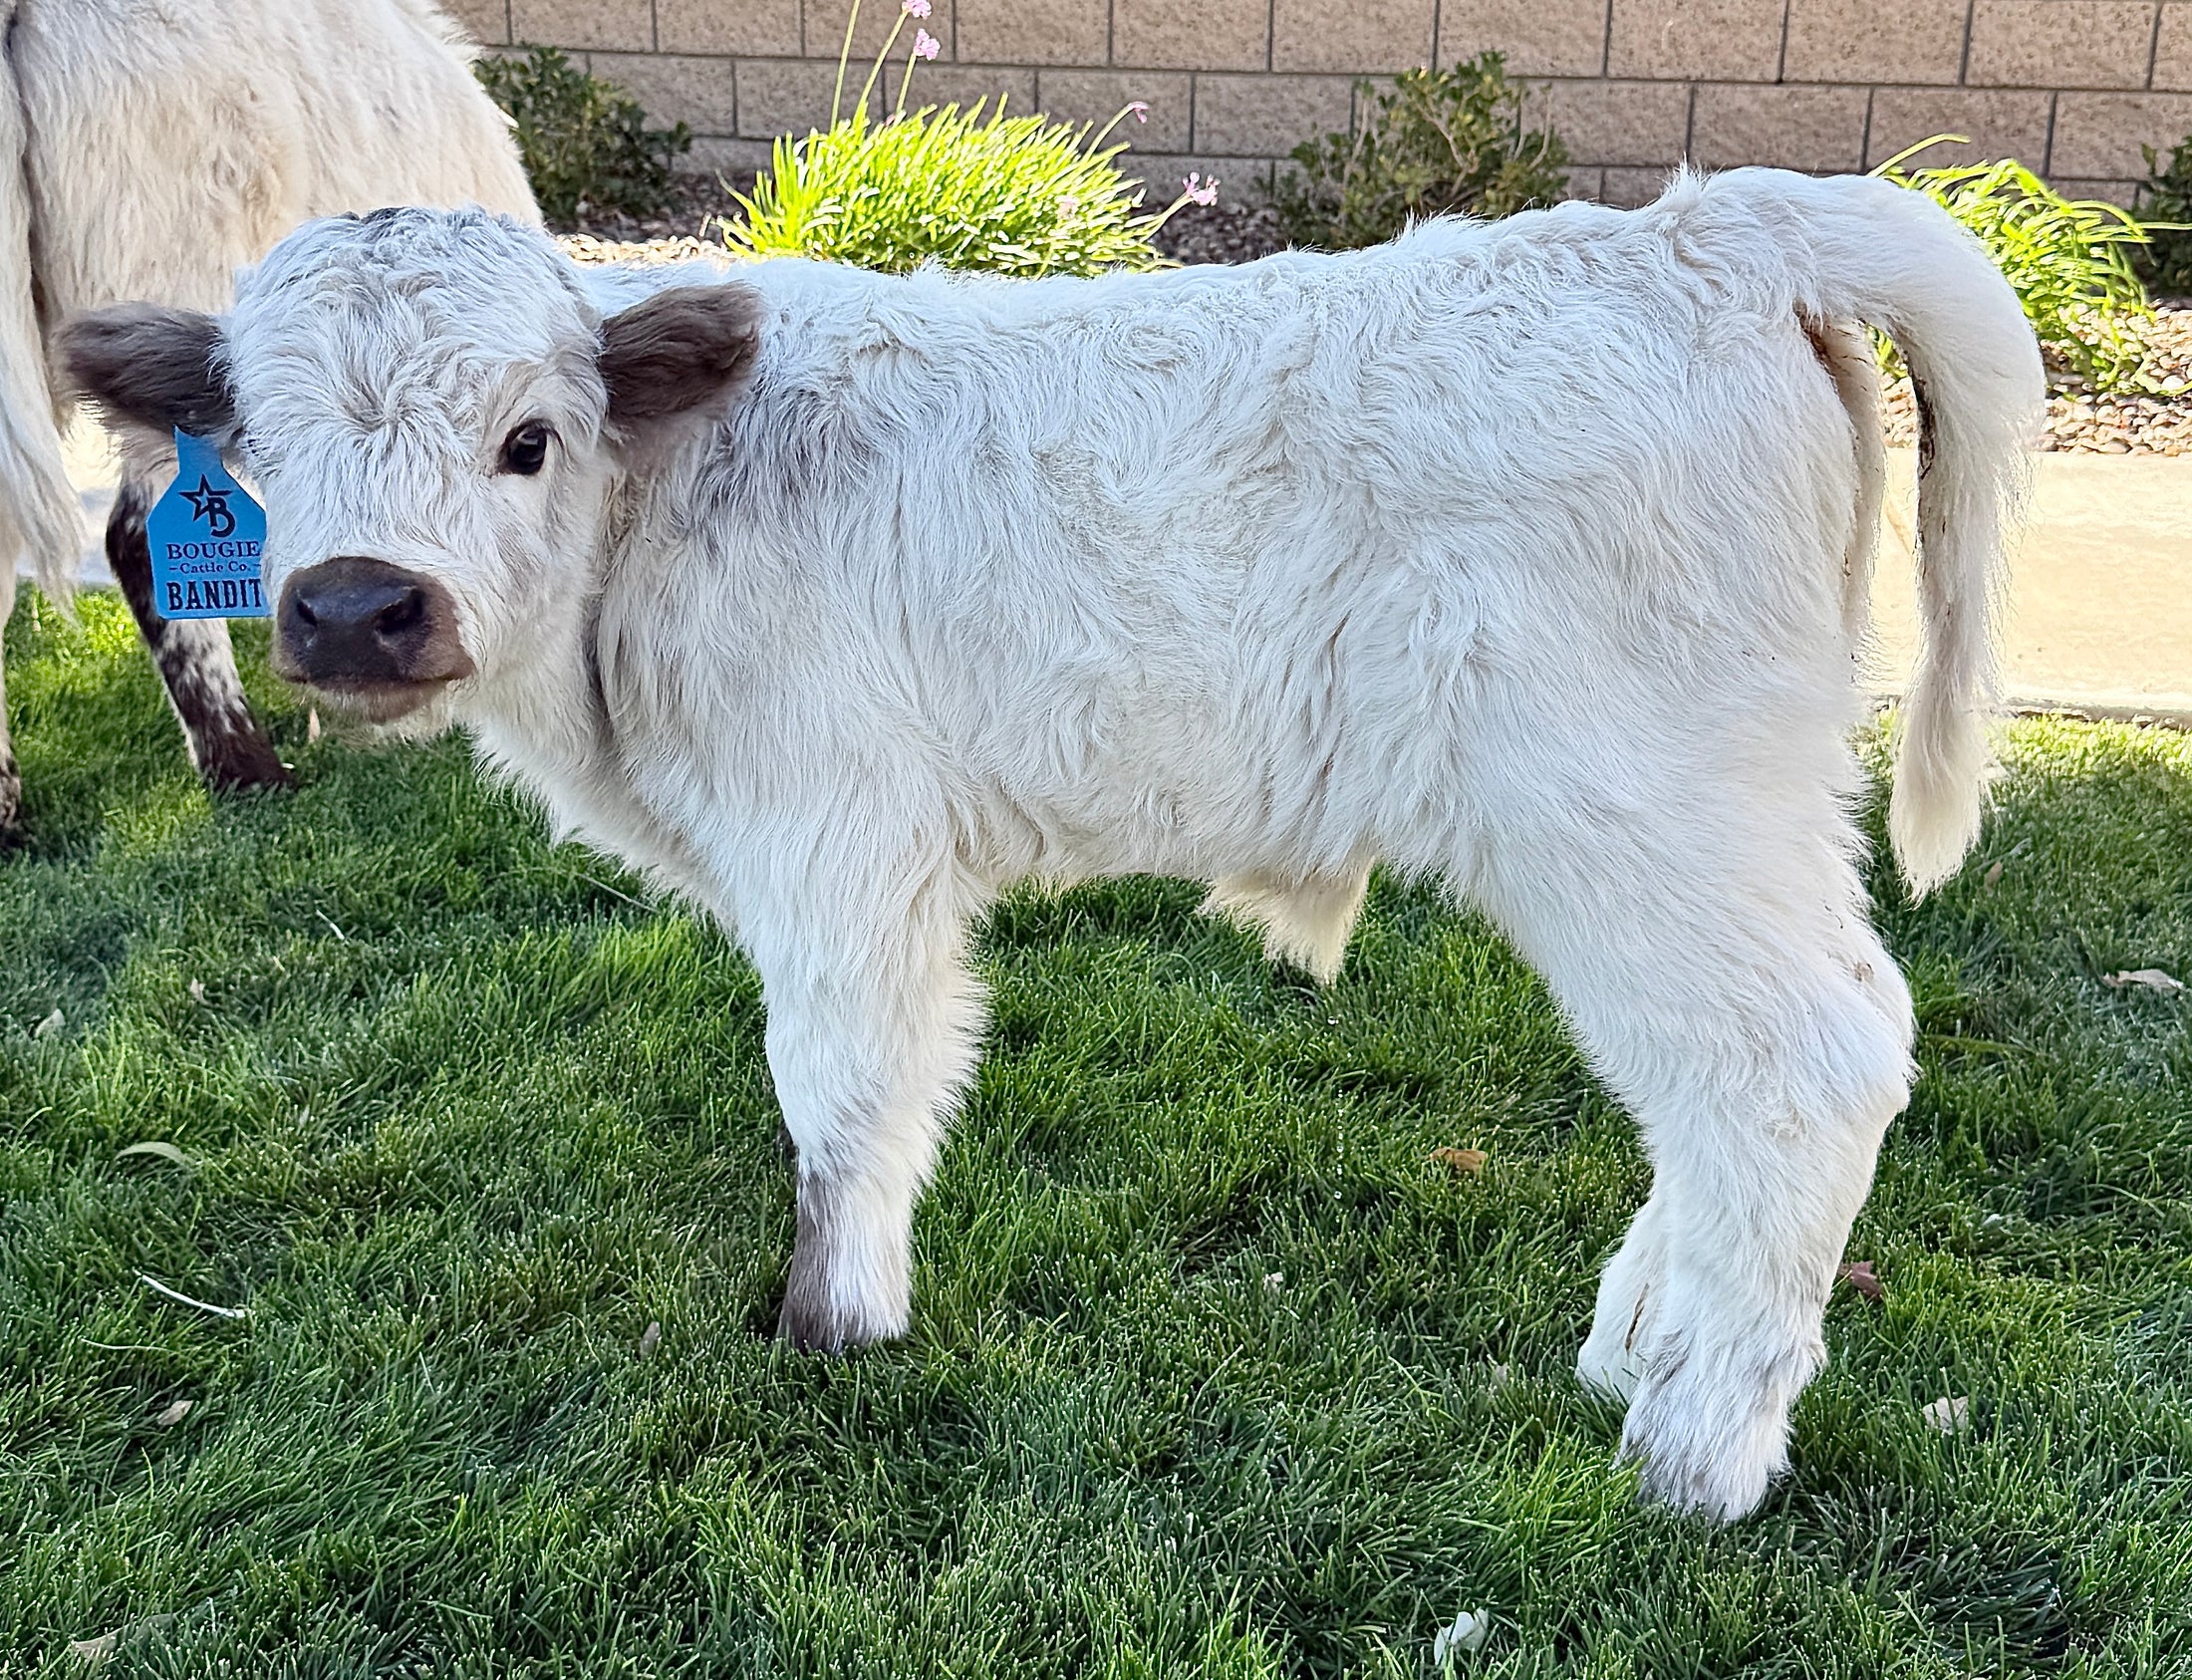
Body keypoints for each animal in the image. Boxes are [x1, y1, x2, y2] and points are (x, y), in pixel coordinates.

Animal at [63, 168, 2042, 1520]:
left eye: (528, 439)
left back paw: (1696, 1455)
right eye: (262, 445)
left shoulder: (840, 841)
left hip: (1651, 815)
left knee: (1801, 1065)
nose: (354, 608)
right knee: (1725, 1092)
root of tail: (1714, 228)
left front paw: (833, 1331)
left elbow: (844, 1088)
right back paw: (1635, 1353)